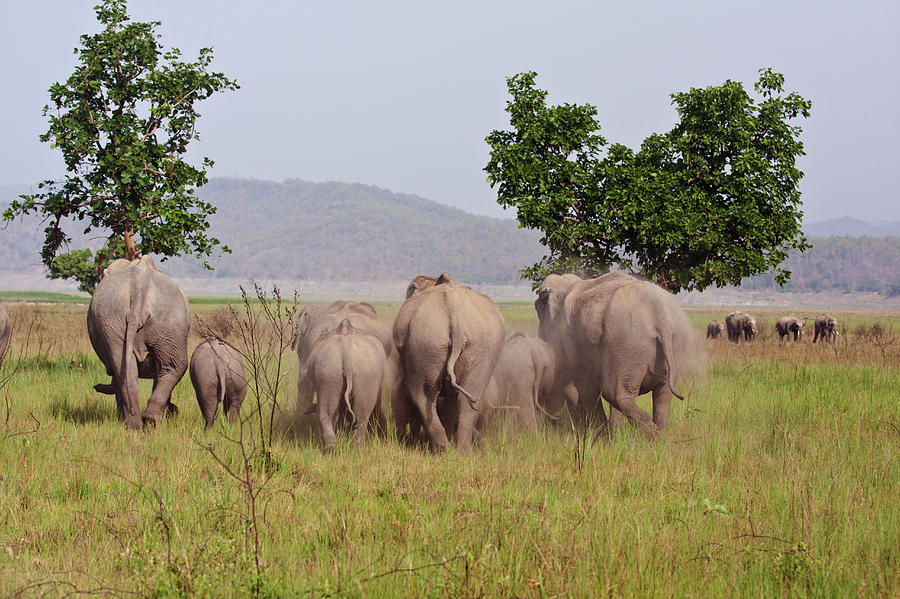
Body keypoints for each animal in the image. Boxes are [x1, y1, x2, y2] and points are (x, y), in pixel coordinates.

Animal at [88, 258, 190, 432]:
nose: (96, 386)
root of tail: (139, 290)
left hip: (115, 319)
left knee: (127, 370)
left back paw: (139, 423)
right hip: (164, 321)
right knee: (170, 366)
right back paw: (147, 422)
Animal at [306, 318, 386, 450]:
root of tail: (345, 350)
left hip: (329, 370)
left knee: (330, 411)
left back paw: (333, 448)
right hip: (360, 372)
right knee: (361, 414)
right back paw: (355, 448)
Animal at [392, 272, 510, 450]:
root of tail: (455, 315)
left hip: (425, 342)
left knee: (423, 394)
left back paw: (443, 449)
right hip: (477, 347)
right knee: (467, 395)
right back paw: (460, 450)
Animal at [536, 274, 696, 436]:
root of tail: (658, 311)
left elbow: (580, 389)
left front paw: (600, 437)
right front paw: (613, 435)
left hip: (628, 341)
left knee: (615, 393)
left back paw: (655, 436)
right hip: (674, 343)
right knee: (663, 395)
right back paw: (662, 437)